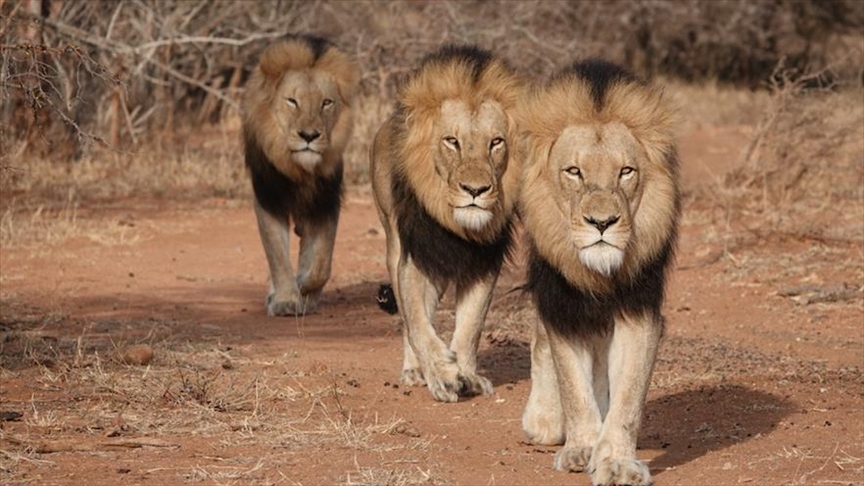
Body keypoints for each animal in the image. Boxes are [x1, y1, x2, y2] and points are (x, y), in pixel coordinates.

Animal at [241, 34, 359, 316]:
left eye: (326, 103)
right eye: (292, 101)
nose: (309, 136)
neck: (300, 170)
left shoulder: (325, 201)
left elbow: (321, 263)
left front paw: (304, 286)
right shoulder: (268, 199)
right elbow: (277, 257)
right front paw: (284, 299)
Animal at [370, 45, 524, 402]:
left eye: (496, 142)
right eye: (452, 141)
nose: (475, 190)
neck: (458, 226)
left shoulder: (483, 263)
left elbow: (471, 327)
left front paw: (467, 375)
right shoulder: (416, 258)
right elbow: (418, 322)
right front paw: (443, 376)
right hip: (392, 242)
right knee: (407, 318)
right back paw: (415, 370)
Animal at [518, 59, 680, 486]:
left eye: (626, 171)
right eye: (574, 171)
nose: (602, 222)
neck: (600, 273)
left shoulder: (638, 309)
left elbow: (627, 399)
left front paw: (616, 461)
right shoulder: (561, 304)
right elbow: (573, 387)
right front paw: (581, 448)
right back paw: (544, 419)